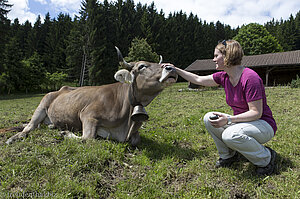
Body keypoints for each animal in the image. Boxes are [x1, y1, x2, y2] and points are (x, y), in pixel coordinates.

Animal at [6, 47, 178, 145]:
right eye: (142, 66)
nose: (171, 68)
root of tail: (61, 88)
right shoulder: (87, 115)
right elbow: (87, 138)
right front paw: (65, 133)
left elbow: (136, 140)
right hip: (42, 105)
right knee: (29, 126)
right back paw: (14, 138)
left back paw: (53, 126)